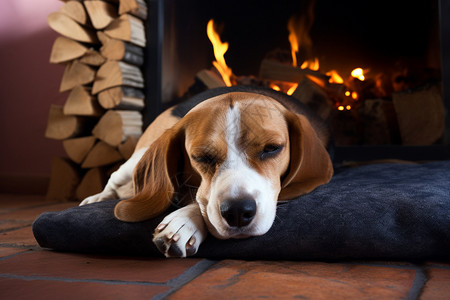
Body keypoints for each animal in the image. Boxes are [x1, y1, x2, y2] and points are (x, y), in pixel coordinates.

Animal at [80, 85, 334, 256]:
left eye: (272, 148)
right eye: (202, 157)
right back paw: (98, 198)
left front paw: (184, 220)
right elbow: (201, 198)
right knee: (114, 179)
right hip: (136, 157)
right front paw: (185, 219)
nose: (238, 212)